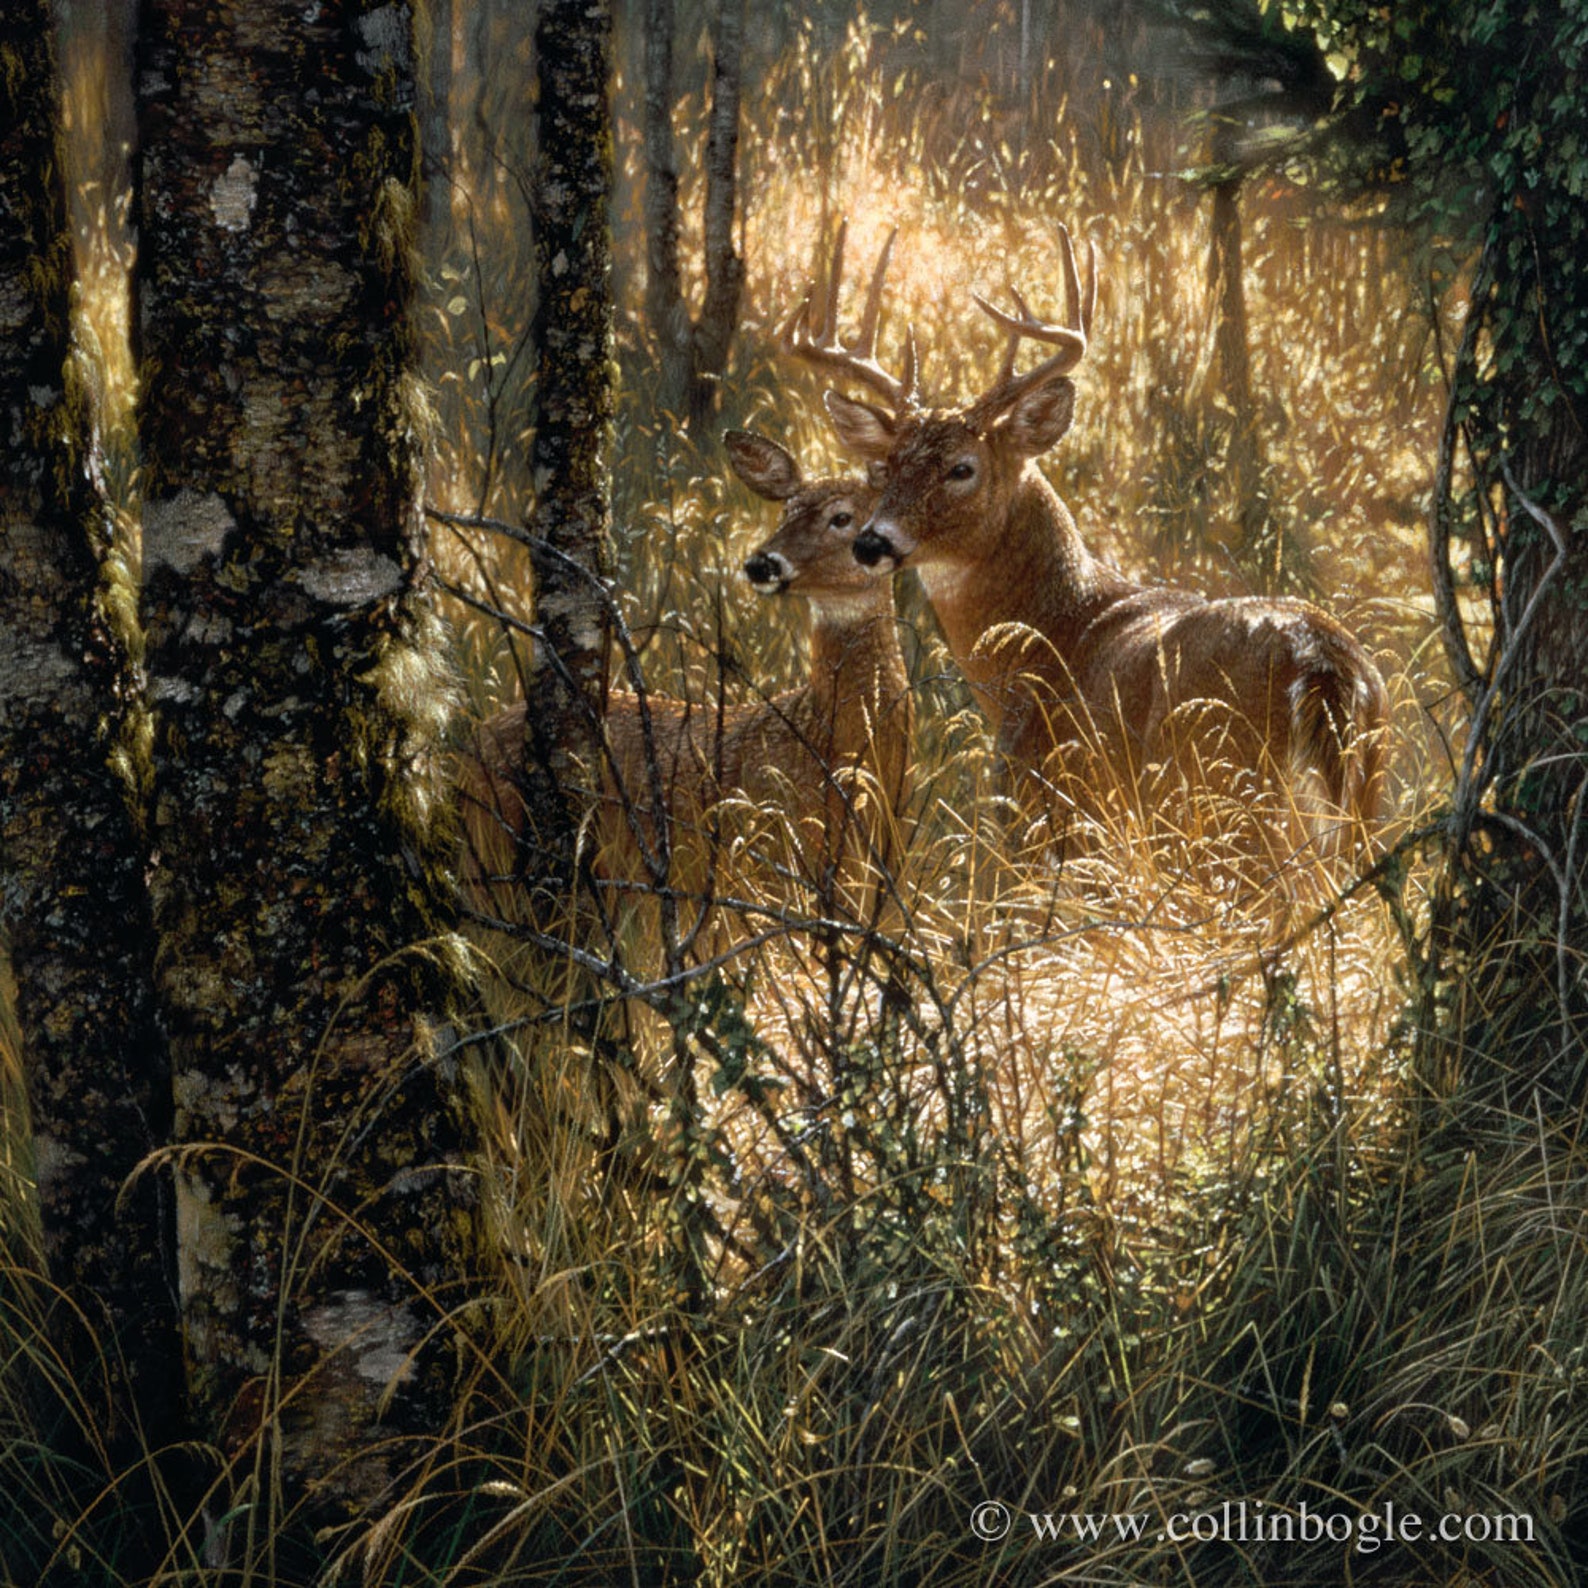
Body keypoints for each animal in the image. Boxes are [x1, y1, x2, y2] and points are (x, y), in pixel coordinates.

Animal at [784, 222, 1388, 865]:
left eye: (962, 468)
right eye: (885, 467)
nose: (872, 542)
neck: (1050, 630)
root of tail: (1323, 664)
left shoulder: (1048, 806)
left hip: (1222, 802)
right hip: (1364, 800)